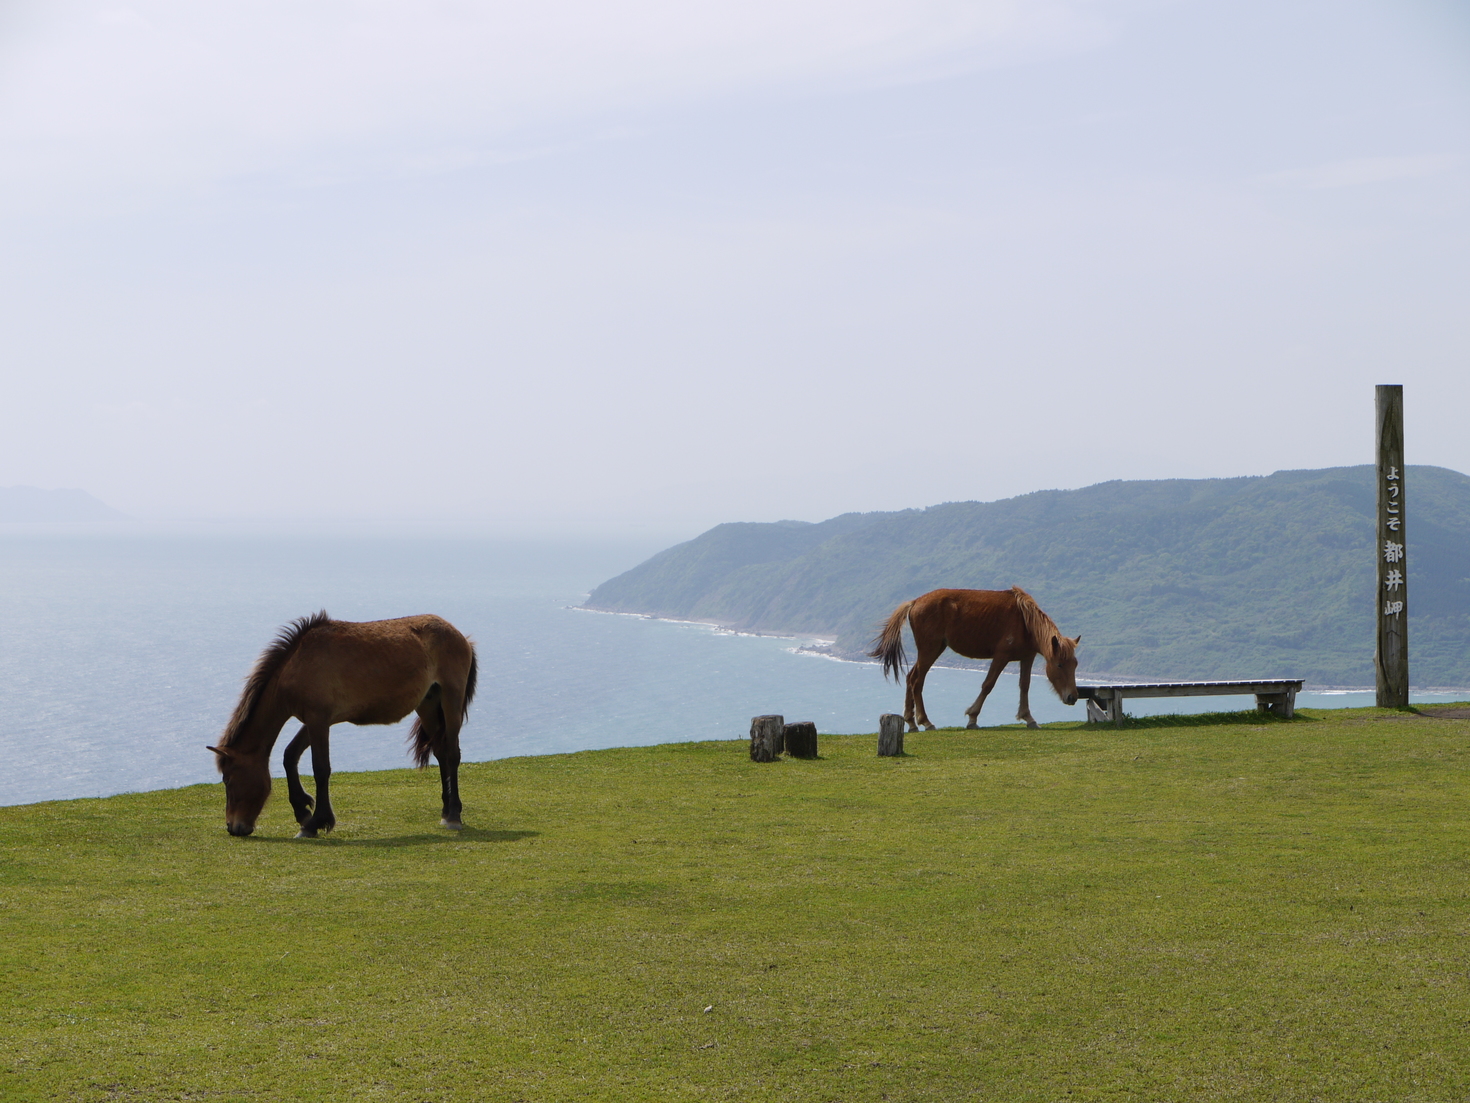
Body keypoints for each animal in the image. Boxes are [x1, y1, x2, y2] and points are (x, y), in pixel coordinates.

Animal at [207, 614, 476, 835]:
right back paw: (445, 811)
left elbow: (320, 768)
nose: (233, 827)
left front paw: (316, 822)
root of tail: (461, 636)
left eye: (228, 780)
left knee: (452, 754)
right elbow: (289, 755)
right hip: (428, 705)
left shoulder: (318, 720)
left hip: (451, 699)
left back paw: (454, 815)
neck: (298, 663)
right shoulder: (315, 720)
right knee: (440, 753)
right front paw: (303, 812)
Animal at [870, 588, 1081, 735]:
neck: (1025, 621)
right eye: (1059, 665)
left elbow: (1025, 686)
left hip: (934, 649)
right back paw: (925, 722)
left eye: (1075, 665)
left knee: (910, 677)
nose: (1072, 697)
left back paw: (911, 722)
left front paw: (1028, 718)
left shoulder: (1027, 658)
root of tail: (914, 602)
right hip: (929, 650)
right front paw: (972, 718)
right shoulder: (1001, 656)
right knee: (917, 681)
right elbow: (988, 684)